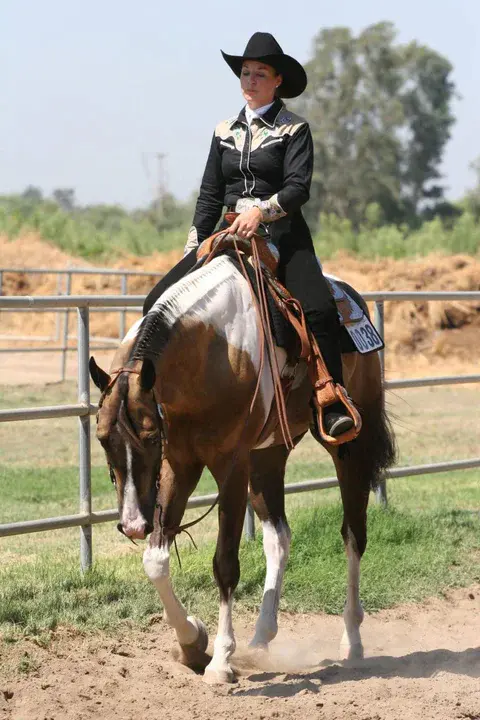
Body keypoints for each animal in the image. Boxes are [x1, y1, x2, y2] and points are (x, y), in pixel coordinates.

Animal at [89, 255, 394, 688]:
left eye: (148, 436)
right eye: (102, 438)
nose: (132, 524)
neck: (209, 353)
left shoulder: (230, 466)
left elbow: (225, 564)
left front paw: (218, 661)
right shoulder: (179, 462)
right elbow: (156, 560)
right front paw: (192, 642)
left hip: (348, 446)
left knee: (353, 533)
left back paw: (351, 640)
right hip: (269, 453)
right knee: (279, 537)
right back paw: (262, 636)